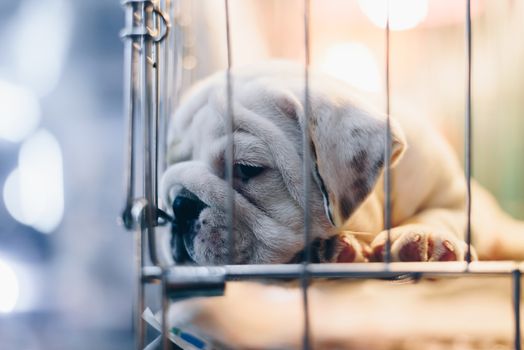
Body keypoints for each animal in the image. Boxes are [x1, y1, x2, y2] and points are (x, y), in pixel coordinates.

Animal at [161, 62, 524, 266]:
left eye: (246, 169)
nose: (180, 205)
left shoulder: (454, 195)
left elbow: (443, 213)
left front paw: (425, 239)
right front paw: (334, 248)